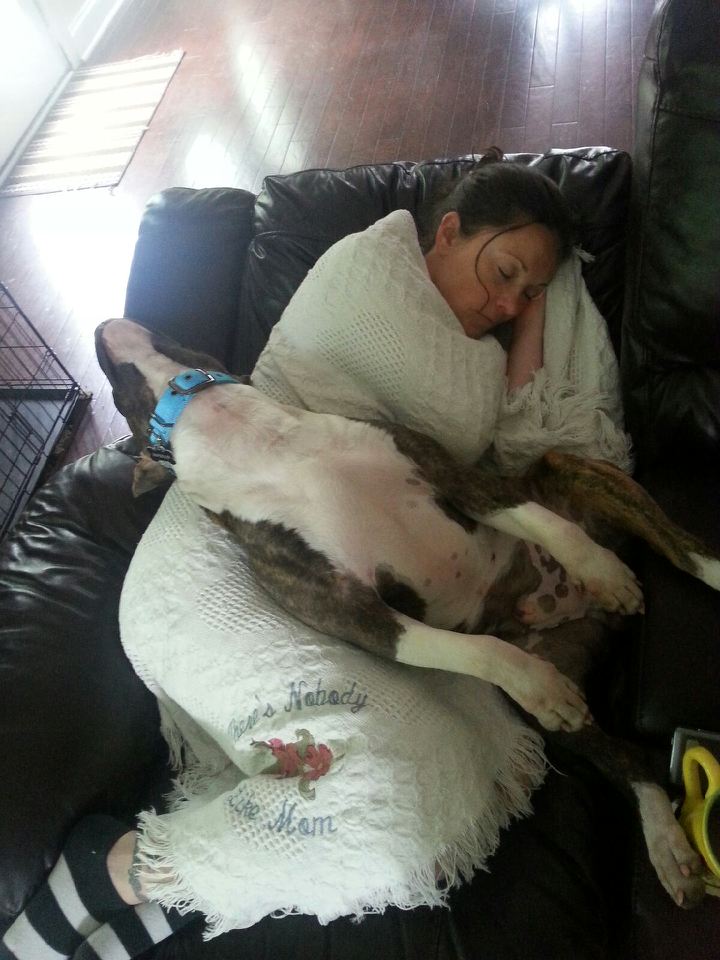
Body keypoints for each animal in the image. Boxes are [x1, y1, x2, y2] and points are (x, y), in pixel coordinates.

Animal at [97, 317, 720, 909]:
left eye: (169, 334)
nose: (103, 329)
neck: (256, 438)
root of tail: (572, 611)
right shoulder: (358, 615)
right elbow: (479, 649)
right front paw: (538, 684)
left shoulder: (460, 480)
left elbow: (548, 525)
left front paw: (605, 573)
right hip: (558, 699)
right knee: (632, 761)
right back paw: (667, 845)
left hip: (576, 476)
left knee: (683, 548)